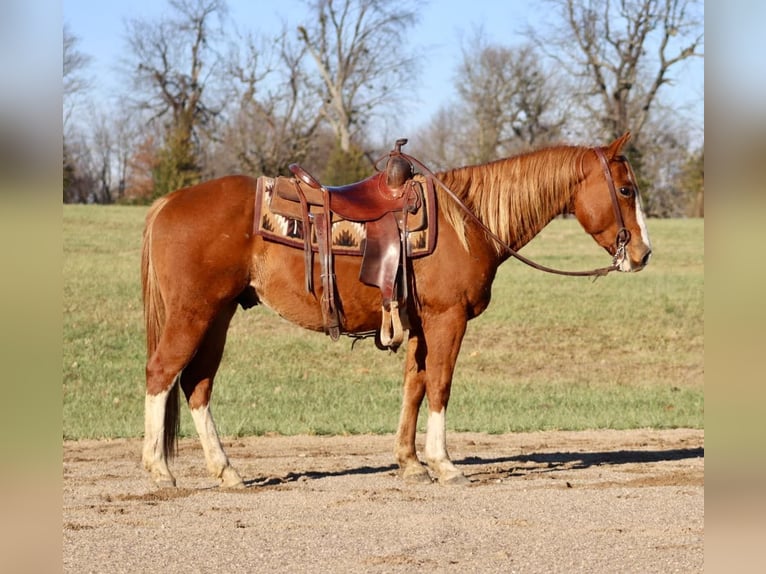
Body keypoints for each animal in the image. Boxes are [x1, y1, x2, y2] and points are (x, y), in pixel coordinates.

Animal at [140, 131, 652, 488]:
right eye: (626, 190)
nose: (643, 254)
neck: (467, 221)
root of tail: (168, 201)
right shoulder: (448, 319)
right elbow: (440, 385)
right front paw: (444, 464)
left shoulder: (421, 325)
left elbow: (414, 385)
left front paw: (410, 462)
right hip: (194, 313)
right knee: (162, 374)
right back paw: (160, 470)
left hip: (219, 315)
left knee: (197, 384)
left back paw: (226, 471)